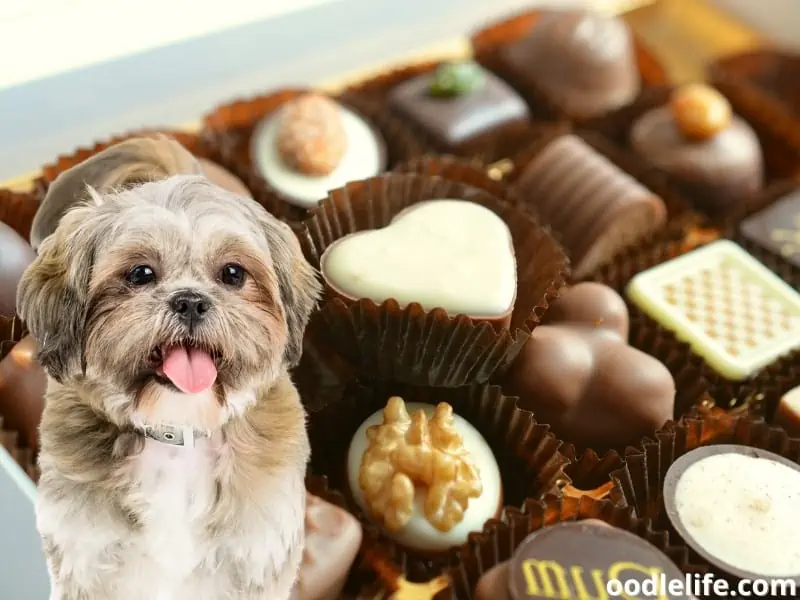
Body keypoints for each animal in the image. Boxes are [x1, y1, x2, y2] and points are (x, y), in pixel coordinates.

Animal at [16, 137, 322, 600]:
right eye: (141, 273)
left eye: (233, 273)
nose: (191, 300)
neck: (179, 432)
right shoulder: (85, 557)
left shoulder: (256, 557)